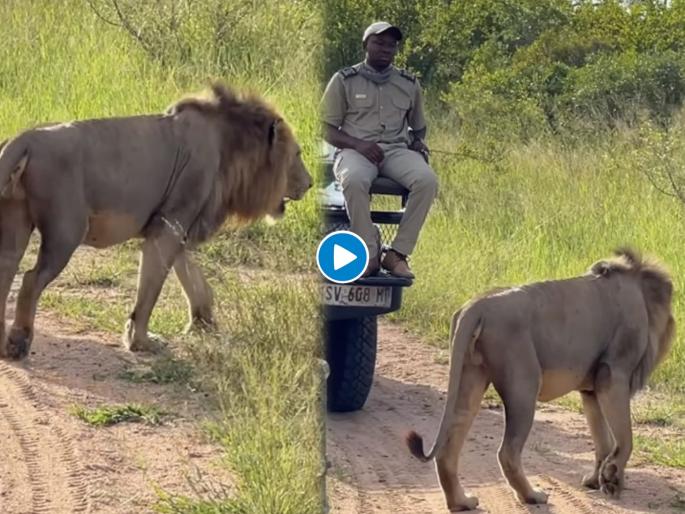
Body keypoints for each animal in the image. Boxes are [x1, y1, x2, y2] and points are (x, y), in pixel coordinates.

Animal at [0, 83, 311, 359]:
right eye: (297, 154)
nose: (309, 184)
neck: (230, 150)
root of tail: (23, 139)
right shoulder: (169, 225)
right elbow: (150, 290)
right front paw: (141, 342)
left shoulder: (177, 225)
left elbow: (193, 279)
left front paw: (205, 324)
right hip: (66, 232)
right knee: (30, 279)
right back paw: (18, 343)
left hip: (15, 221)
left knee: (7, 268)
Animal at [406, 248, 675, 511]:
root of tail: (475, 307)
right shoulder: (612, 375)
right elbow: (624, 438)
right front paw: (611, 479)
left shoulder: (591, 390)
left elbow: (603, 441)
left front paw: (594, 480)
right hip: (523, 385)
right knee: (508, 452)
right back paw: (532, 496)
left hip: (470, 377)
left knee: (449, 447)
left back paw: (462, 502)